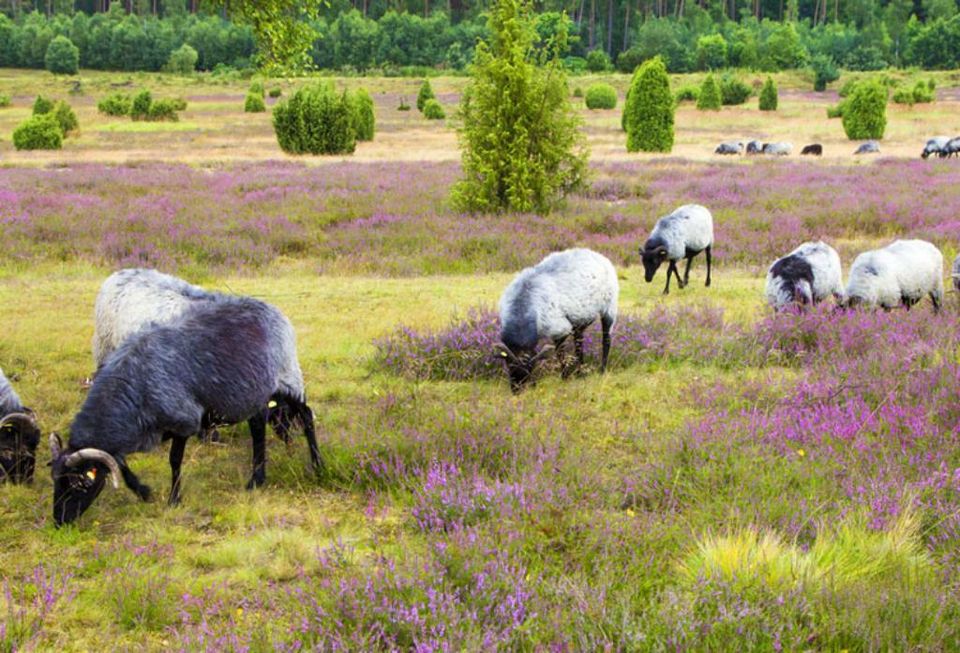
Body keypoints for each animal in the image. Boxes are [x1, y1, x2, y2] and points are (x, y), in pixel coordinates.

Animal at [49, 296, 322, 524]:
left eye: (80, 482)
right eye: (55, 479)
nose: (60, 521)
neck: (133, 389)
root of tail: (271, 308)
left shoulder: (183, 421)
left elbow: (174, 460)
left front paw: (174, 500)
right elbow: (121, 463)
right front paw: (143, 491)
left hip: (288, 379)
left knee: (306, 416)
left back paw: (317, 465)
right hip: (255, 392)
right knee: (258, 428)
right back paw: (256, 480)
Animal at [496, 250, 624, 392]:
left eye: (530, 368)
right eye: (509, 366)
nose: (517, 391)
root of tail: (597, 254)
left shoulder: (559, 329)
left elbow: (560, 354)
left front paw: (564, 378)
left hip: (609, 307)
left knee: (605, 340)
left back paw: (602, 370)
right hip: (580, 317)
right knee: (579, 341)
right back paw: (581, 372)